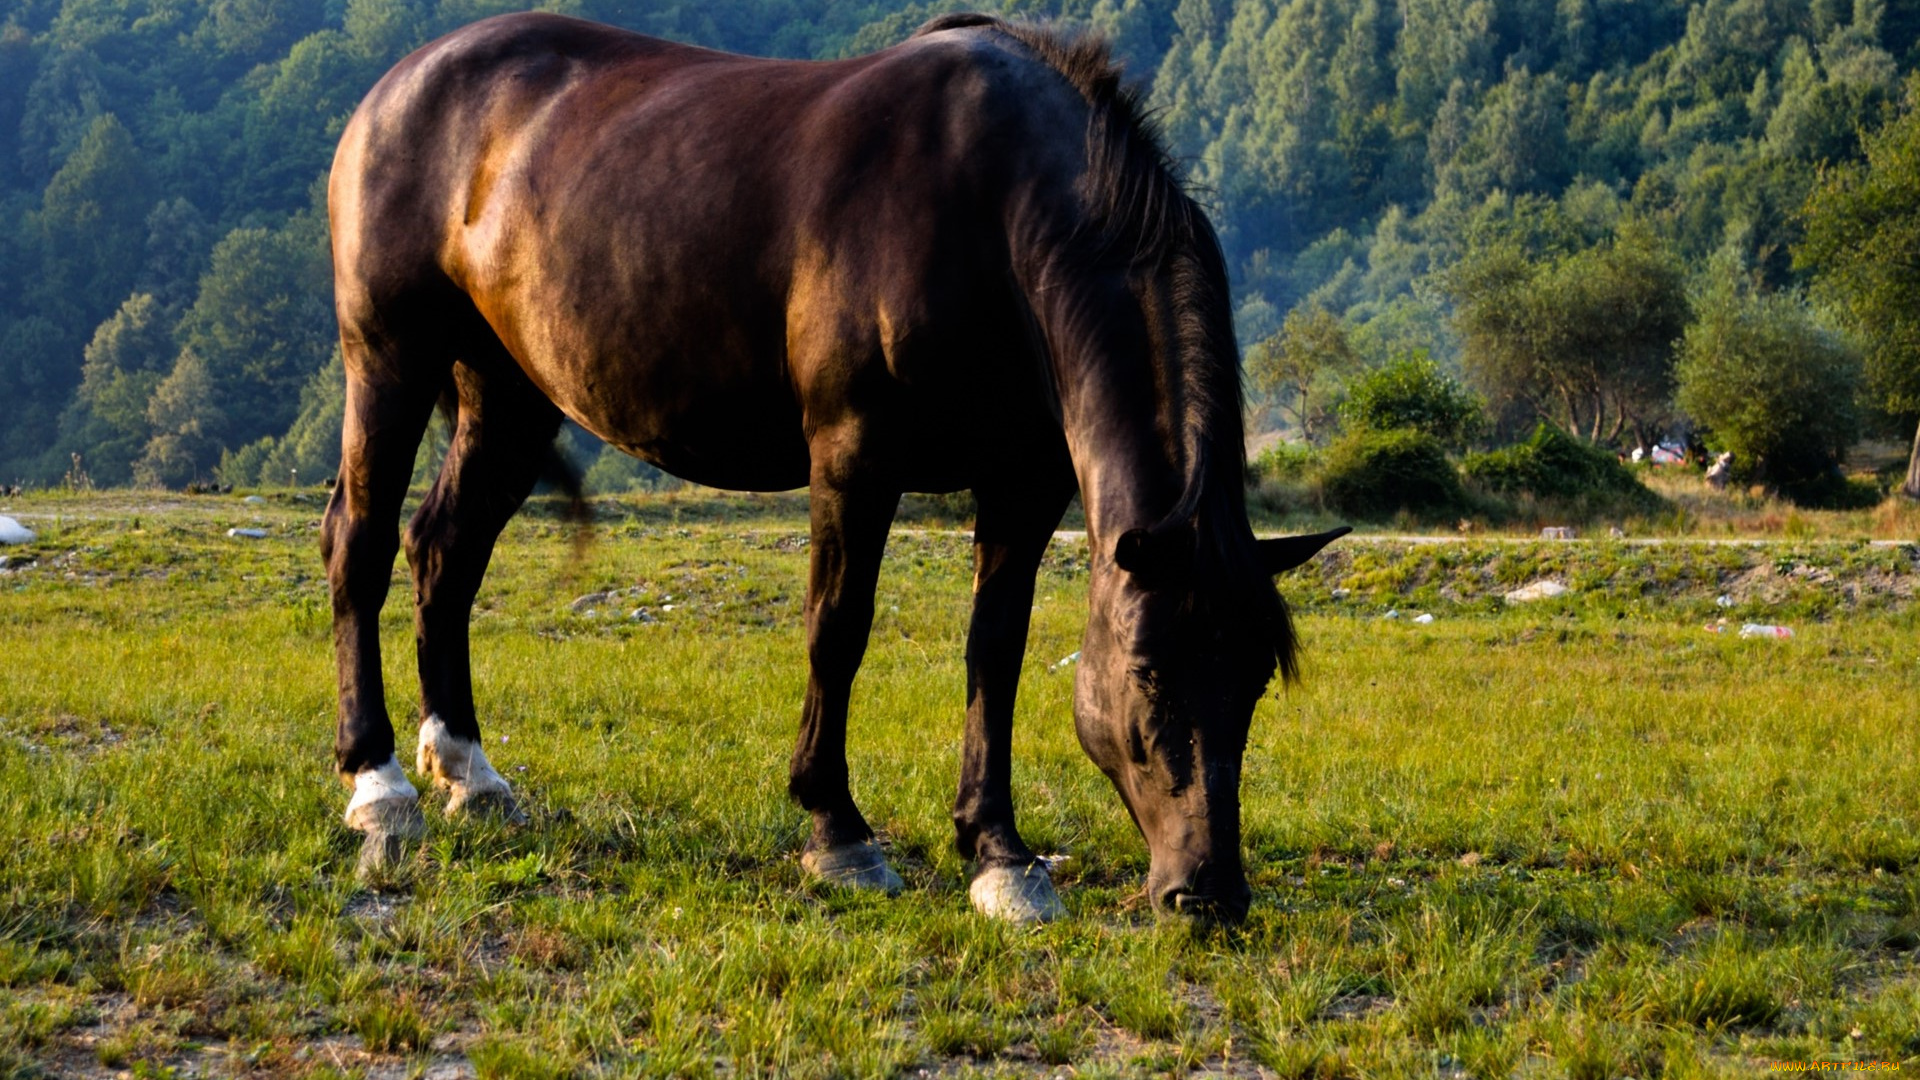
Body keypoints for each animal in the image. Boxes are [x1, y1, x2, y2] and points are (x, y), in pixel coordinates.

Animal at [326, 10, 1351, 914]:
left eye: (1255, 677)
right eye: (1146, 673)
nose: (1208, 892)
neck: (994, 207)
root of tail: (398, 85)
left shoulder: (1024, 483)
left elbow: (997, 650)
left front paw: (998, 852)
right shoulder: (854, 455)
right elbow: (838, 630)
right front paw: (839, 833)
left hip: (507, 393)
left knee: (445, 552)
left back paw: (469, 772)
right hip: (390, 360)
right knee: (361, 544)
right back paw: (380, 785)